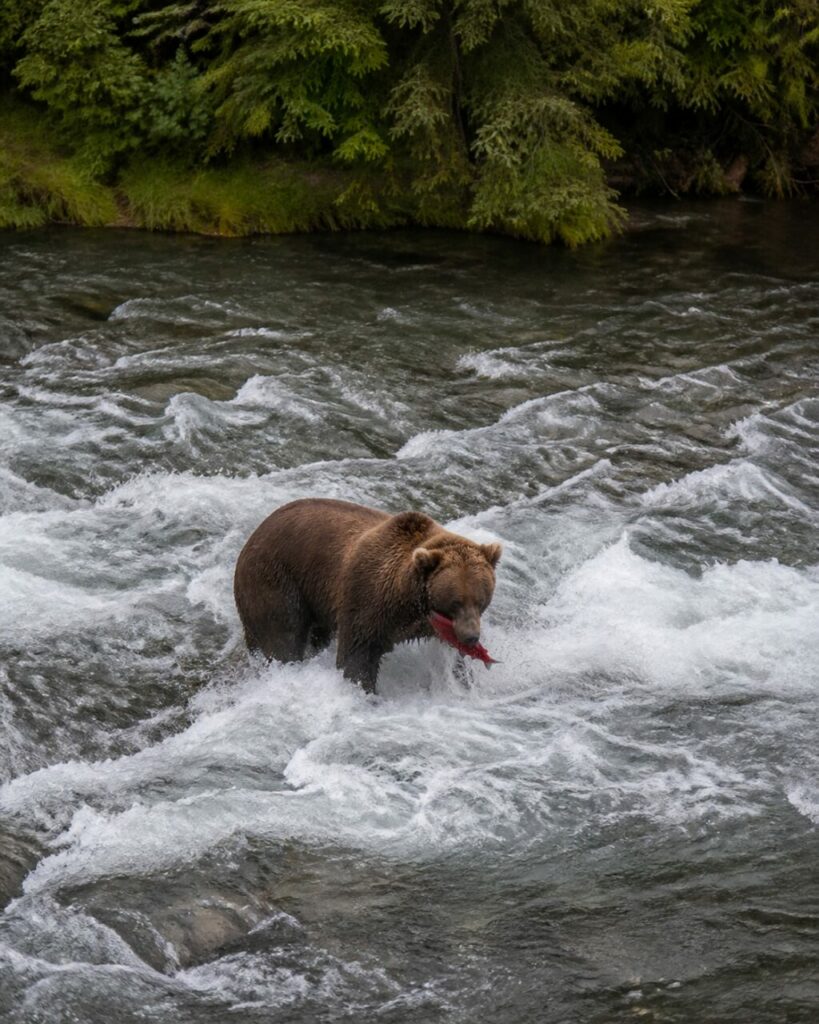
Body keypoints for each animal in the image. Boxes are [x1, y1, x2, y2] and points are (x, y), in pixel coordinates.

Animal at [233, 498, 501, 693]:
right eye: (455, 601)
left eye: (481, 601)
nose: (471, 637)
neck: (408, 600)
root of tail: (252, 536)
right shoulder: (368, 601)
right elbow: (357, 656)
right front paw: (364, 692)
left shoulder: (431, 625)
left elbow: (455, 659)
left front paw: (464, 680)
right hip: (276, 582)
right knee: (282, 639)